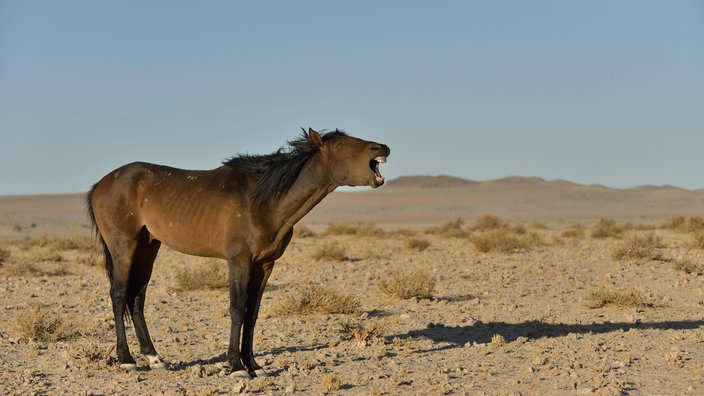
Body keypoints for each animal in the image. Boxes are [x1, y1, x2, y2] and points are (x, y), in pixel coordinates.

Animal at [86, 127, 390, 378]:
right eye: (338, 145)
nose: (383, 148)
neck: (263, 201)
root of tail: (100, 184)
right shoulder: (238, 261)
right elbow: (237, 309)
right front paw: (235, 366)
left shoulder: (265, 265)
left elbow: (252, 313)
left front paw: (253, 364)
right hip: (124, 247)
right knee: (119, 295)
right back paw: (126, 360)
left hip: (148, 246)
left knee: (137, 298)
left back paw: (154, 358)